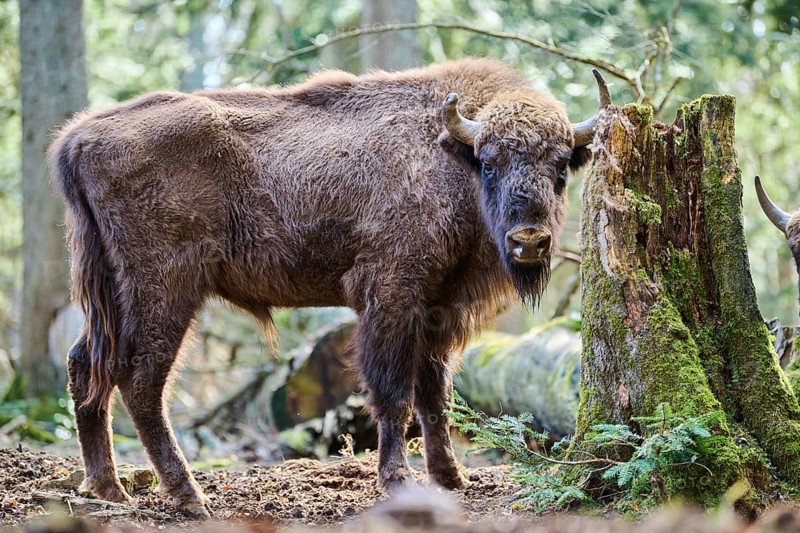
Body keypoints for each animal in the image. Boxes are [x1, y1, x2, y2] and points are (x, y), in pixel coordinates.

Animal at [50, 58, 609, 515]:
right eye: (490, 162)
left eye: (561, 166)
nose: (529, 241)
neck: (450, 154)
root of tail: (79, 137)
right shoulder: (392, 296)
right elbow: (394, 392)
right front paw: (398, 480)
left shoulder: (438, 309)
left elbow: (436, 395)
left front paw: (453, 478)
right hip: (165, 290)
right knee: (140, 380)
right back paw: (189, 496)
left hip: (112, 292)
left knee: (84, 364)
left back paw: (107, 487)